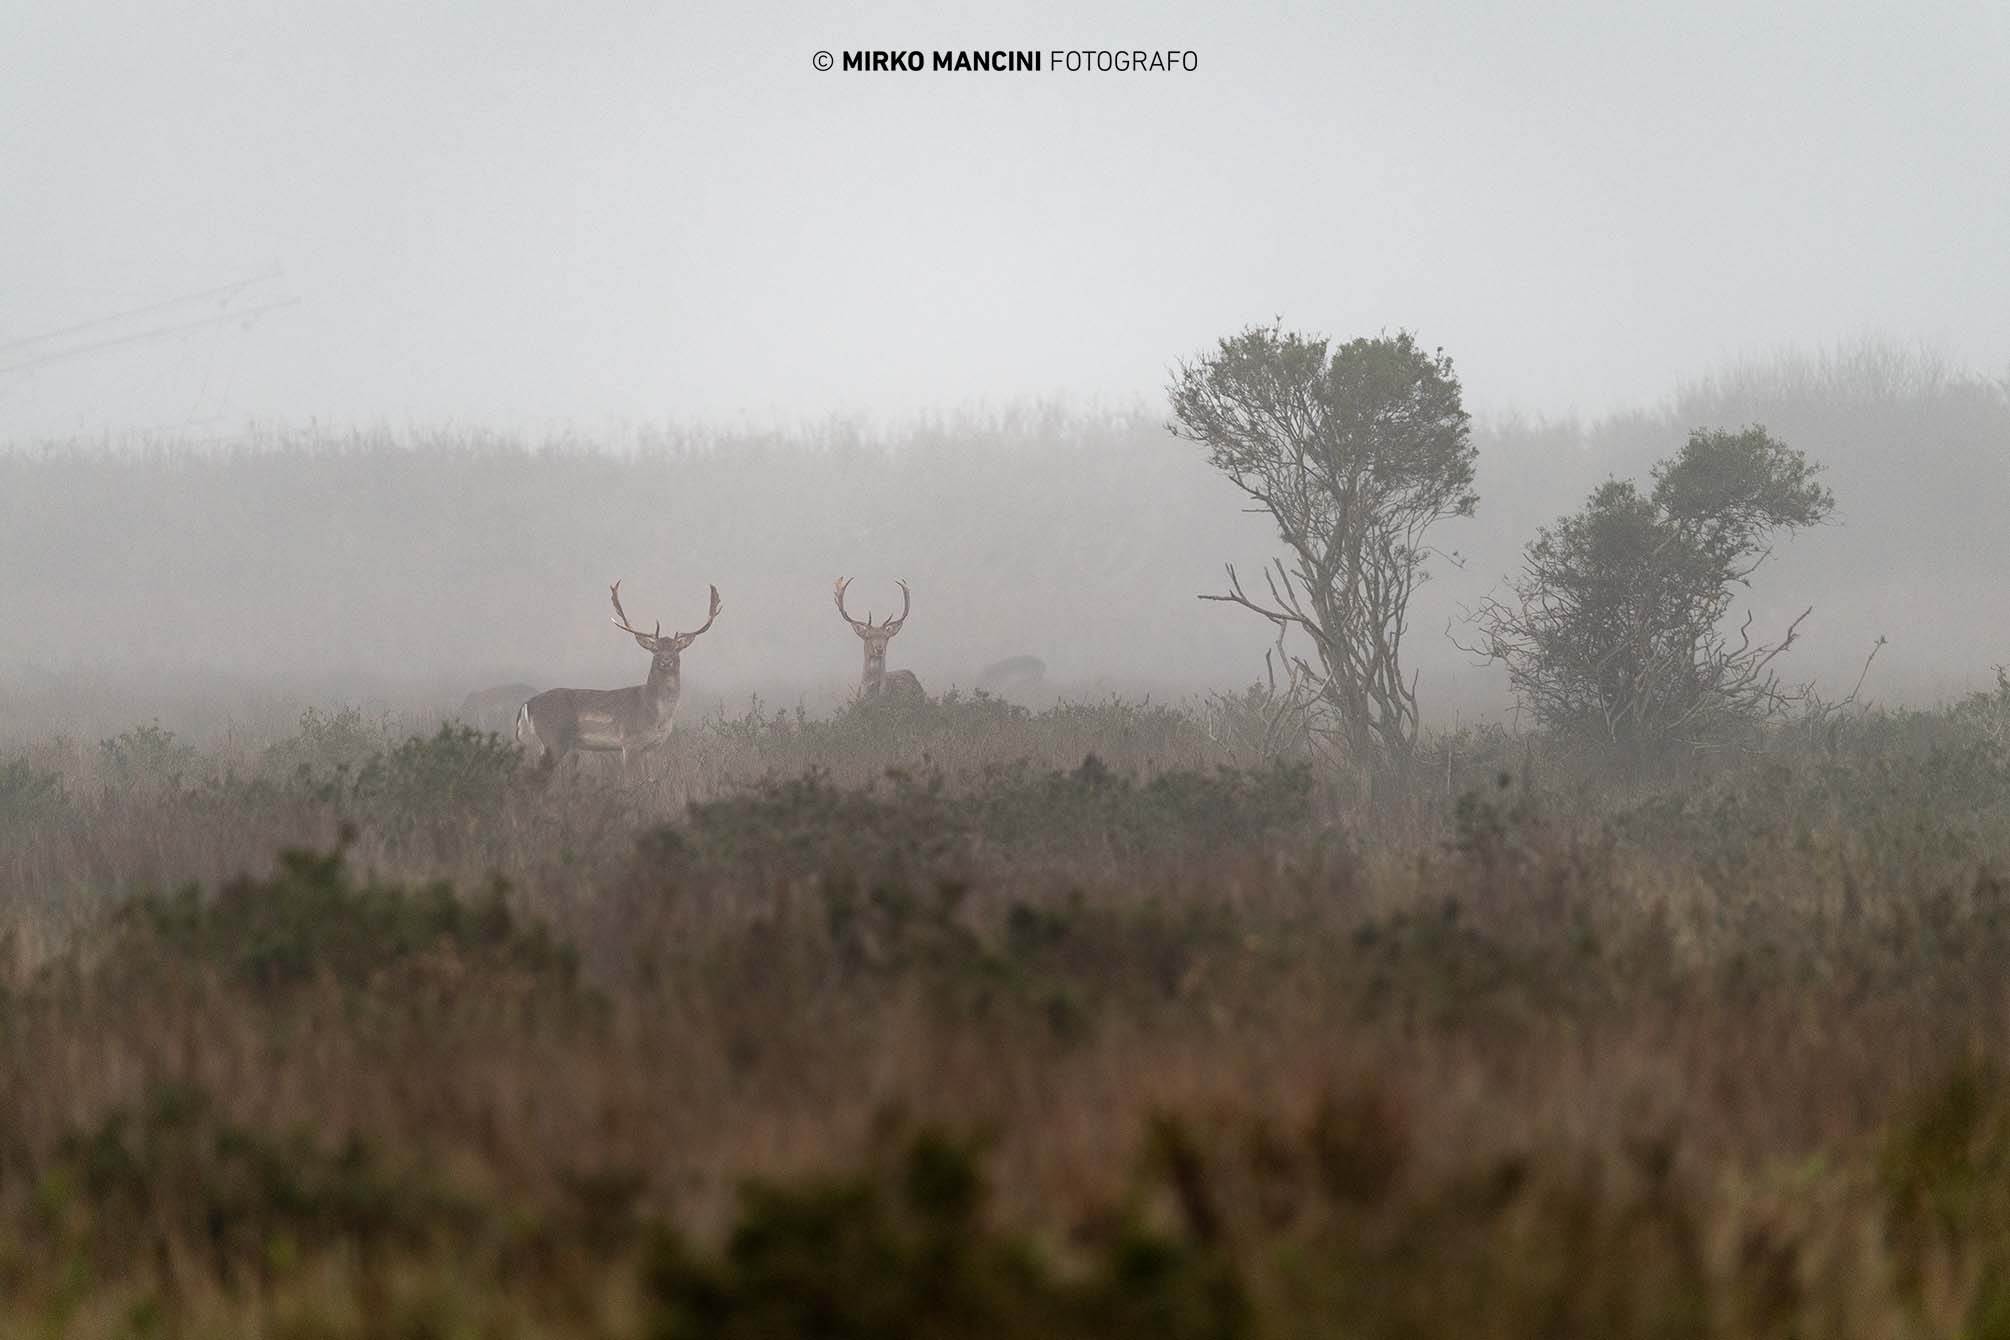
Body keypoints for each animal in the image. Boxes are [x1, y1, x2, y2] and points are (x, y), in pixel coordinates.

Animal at [516, 580, 721, 779]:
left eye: (676, 649)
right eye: (655, 649)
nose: (666, 661)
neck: (657, 715)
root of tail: (527, 704)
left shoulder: (651, 748)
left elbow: (648, 780)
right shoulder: (629, 741)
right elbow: (630, 781)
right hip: (554, 738)